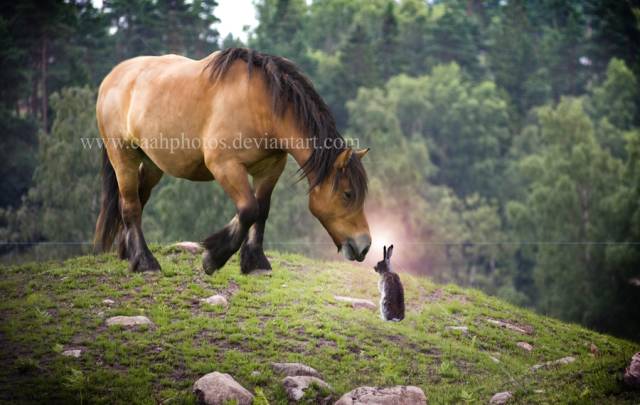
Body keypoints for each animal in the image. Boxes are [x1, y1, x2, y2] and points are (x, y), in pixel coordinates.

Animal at [93, 48, 372, 274]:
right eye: (348, 194)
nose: (365, 246)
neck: (260, 106)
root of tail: (112, 77)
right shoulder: (225, 166)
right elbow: (249, 209)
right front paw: (214, 257)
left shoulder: (270, 169)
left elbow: (261, 211)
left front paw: (255, 262)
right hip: (123, 157)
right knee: (130, 206)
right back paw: (145, 262)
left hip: (151, 164)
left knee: (137, 199)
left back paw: (128, 253)